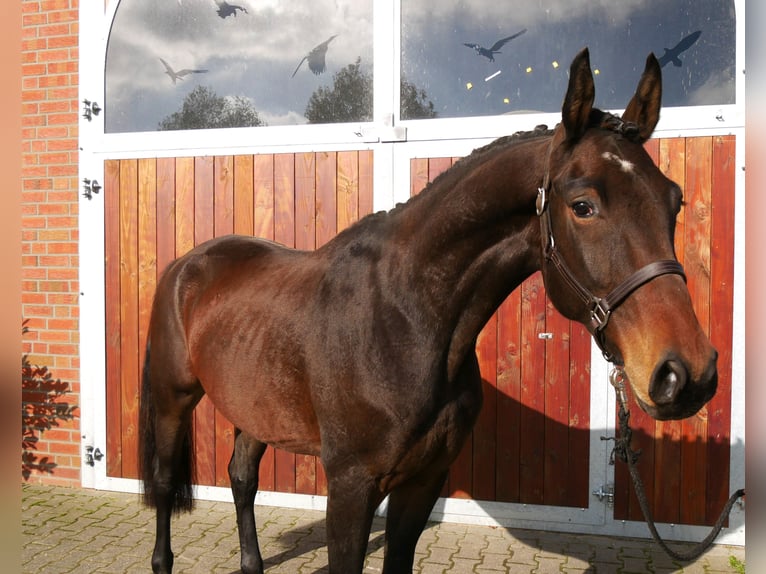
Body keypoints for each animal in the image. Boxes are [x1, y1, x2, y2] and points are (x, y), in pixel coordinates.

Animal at [138, 47, 720, 572]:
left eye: (674, 200)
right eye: (583, 206)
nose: (687, 374)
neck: (405, 321)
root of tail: (188, 265)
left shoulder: (423, 482)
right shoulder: (351, 487)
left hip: (253, 408)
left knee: (242, 478)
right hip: (172, 399)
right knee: (165, 485)